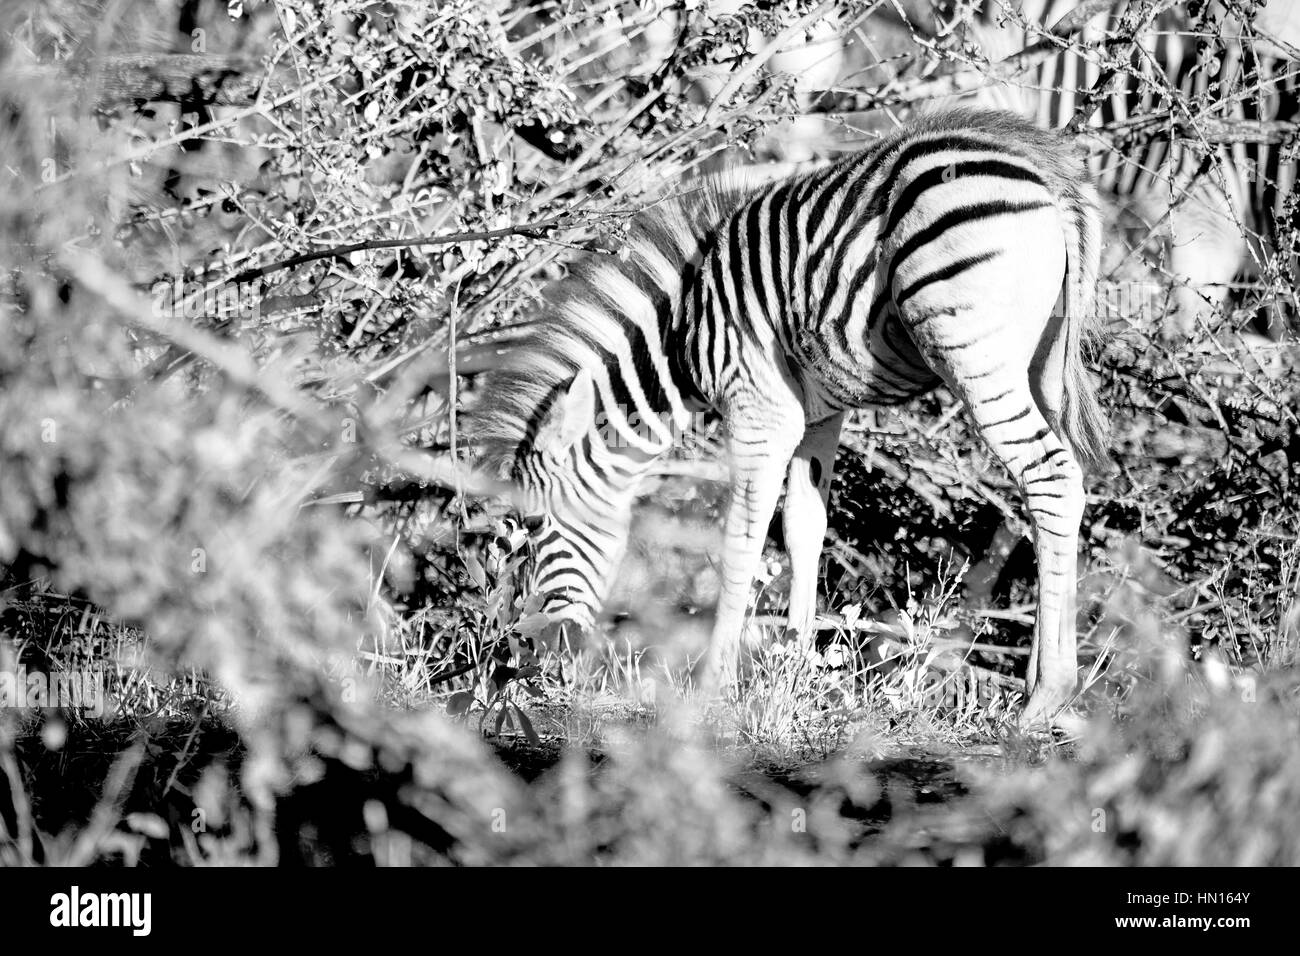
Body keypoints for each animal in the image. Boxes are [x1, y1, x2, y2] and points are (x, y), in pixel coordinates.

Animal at [473, 108, 1102, 723]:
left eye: (533, 528)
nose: (529, 651)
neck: (680, 332)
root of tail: (1047, 173)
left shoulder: (758, 406)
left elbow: (742, 538)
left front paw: (711, 689)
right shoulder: (818, 414)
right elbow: (805, 527)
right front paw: (796, 678)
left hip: (973, 353)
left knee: (1050, 475)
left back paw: (1047, 697)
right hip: (1043, 365)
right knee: (1056, 491)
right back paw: (1038, 684)